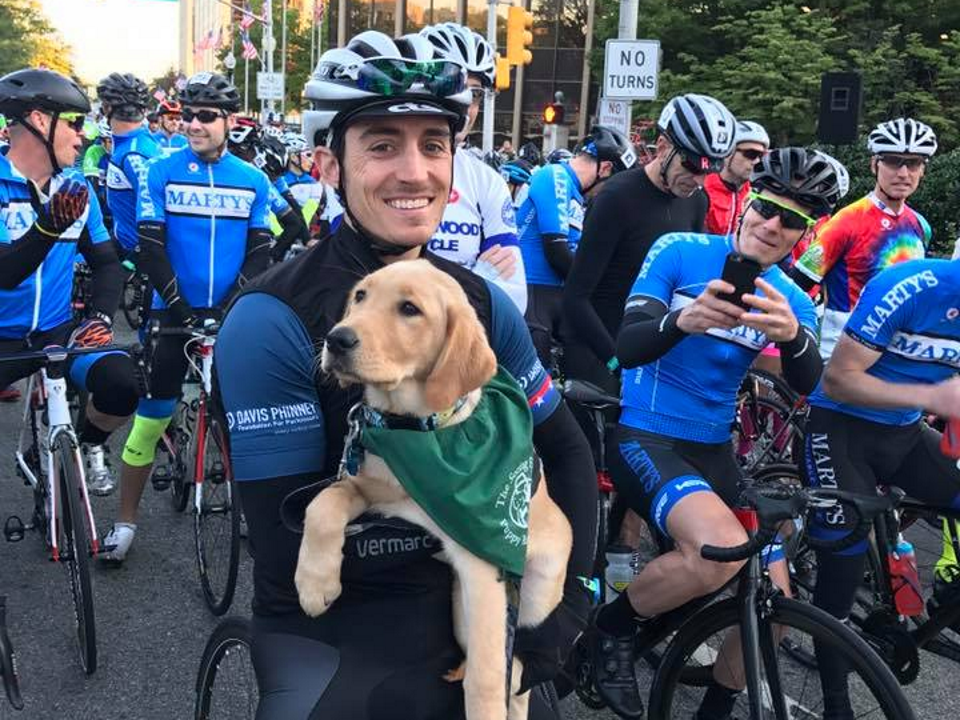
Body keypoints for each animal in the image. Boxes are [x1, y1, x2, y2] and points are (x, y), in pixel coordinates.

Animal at [296, 260, 572, 720]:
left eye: (410, 309)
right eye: (360, 296)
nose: (337, 339)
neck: (419, 429)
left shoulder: (483, 571)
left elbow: (486, 681)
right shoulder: (372, 489)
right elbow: (323, 501)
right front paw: (315, 582)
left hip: (529, 594)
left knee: (515, 671)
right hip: (462, 611)